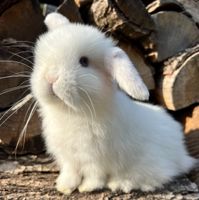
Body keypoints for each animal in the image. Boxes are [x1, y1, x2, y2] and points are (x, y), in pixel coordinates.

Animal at [31, 12, 196, 194]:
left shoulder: (95, 158)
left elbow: (94, 174)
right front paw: (64, 186)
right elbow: (70, 172)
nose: (51, 77)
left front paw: (87, 187)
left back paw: (121, 183)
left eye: (84, 61)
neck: (70, 111)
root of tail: (181, 153)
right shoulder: (68, 158)